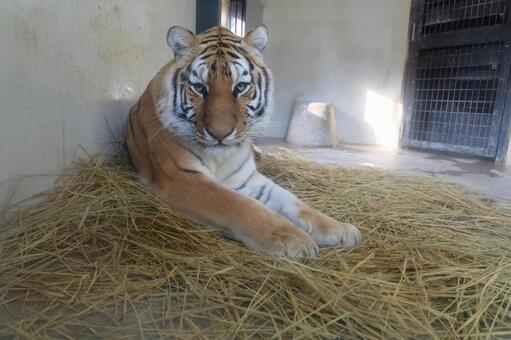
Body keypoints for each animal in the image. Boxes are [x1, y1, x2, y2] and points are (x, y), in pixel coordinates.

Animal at [124, 24, 364, 258]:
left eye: (240, 87)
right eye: (199, 88)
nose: (219, 134)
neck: (221, 160)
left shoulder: (248, 178)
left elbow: (294, 201)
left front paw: (339, 228)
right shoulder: (181, 177)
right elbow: (241, 206)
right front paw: (292, 238)